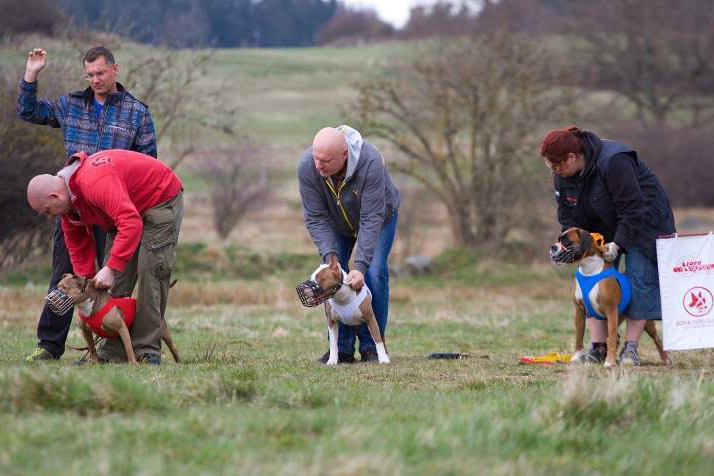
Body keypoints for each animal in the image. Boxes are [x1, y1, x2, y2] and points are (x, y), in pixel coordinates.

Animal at [53, 274, 181, 362]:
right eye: (58, 286)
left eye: (64, 287)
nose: (52, 296)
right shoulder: (85, 331)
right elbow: (92, 347)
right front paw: (94, 362)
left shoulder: (121, 327)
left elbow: (128, 347)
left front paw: (133, 364)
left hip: (163, 331)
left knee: (173, 347)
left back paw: (178, 361)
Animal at [552, 229, 668, 366]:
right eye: (559, 240)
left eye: (566, 241)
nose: (552, 247)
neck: (589, 270)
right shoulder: (579, 312)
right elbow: (579, 336)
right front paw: (576, 356)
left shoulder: (611, 310)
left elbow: (611, 338)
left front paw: (610, 362)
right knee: (615, 337)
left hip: (645, 322)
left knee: (656, 338)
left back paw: (665, 358)